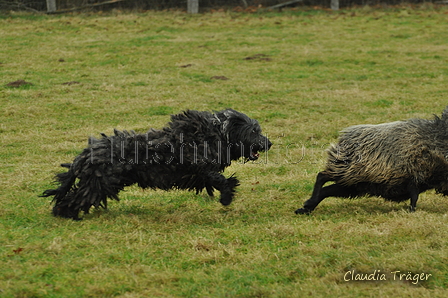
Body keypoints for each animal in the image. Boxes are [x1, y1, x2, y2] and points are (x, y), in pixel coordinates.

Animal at [43, 108, 272, 220]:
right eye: (254, 131)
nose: (269, 143)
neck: (218, 133)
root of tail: (86, 153)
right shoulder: (200, 165)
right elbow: (219, 179)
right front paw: (226, 197)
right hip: (99, 183)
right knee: (74, 198)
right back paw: (67, 215)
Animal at [296, 107, 448, 214]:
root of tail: (343, 140)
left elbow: (413, 197)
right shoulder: (414, 175)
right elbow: (414, 197)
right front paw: (411, 212)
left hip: (353, 184)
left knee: (326, 190)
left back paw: (306, 208)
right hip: (348, 171)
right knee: (322, 176)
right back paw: (308, 205)